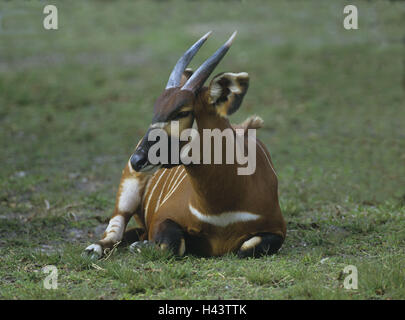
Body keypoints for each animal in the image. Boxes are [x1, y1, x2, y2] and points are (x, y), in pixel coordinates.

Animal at [83, 31, 284, 258]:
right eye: (156, 109)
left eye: (182, 112)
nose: (137, 159)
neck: (221, 208)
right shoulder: (163, 217)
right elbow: (174, 244)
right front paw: (141, 247)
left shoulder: (277, 230)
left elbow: (247, 248)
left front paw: (141, 245)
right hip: (127, 193)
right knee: (116, 229)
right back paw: (94, 248)